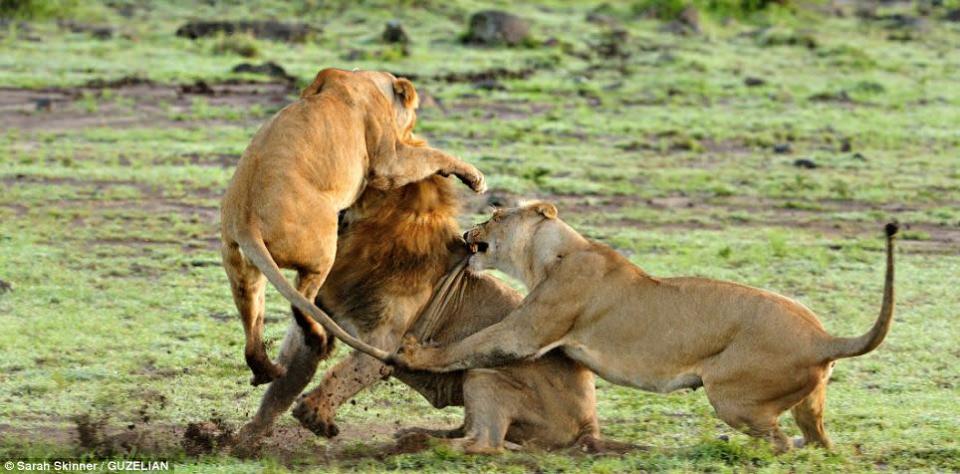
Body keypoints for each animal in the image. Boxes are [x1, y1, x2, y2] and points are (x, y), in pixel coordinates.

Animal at [221, 68, 484, 386]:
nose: (411, 135)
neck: (365, 79)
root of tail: (246, 222)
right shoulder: (388, 163)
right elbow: (432, 155)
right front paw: (474, 178)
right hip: (322, 248)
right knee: (302, 300)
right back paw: (318, 342)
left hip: (243, 275)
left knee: (253, 330)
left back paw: (266, 372)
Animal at [235, 178, 600, 456]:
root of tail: (591, 424)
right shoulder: (316, 323)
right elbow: (281, 389)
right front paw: (242, 440)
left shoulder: (384, 344)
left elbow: (343, 374)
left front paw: (314, 413)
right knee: (469, 430)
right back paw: (413, 434)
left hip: (486, 374)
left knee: (486, 442)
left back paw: (415, 442)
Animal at [392, 203, 900, 452]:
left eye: (496, 215)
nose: (466, 232)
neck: (550, 253)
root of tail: (823, 338)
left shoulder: (529, 333)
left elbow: (474, 343)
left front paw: (414, 352)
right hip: (807, 405)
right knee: (819, 444)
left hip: (732, 397)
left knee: (779, 445)